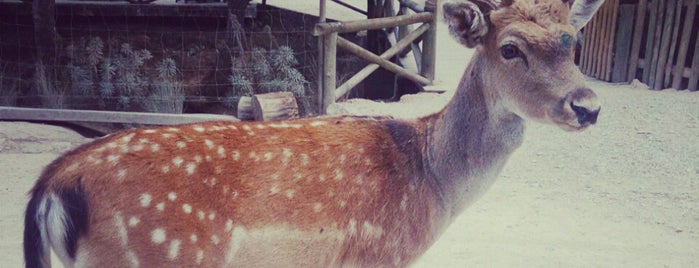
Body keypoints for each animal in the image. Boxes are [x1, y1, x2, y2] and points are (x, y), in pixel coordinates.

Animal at [24, 0, 604, 266]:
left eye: (572, 41)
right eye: (509, 48)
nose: (589, 106)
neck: (432, 184)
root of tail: (53, 184)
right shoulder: (376, 256)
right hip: (158, 252)